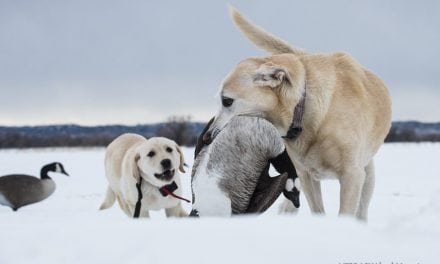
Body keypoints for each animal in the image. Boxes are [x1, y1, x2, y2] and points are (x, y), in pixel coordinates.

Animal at [203, 7, 392, 221]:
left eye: (227, 101)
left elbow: (346, 210)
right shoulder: (306, 175)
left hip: (368, 175)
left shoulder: (352, 175)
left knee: (362, 207)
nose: (206, 136)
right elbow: (317, 208)